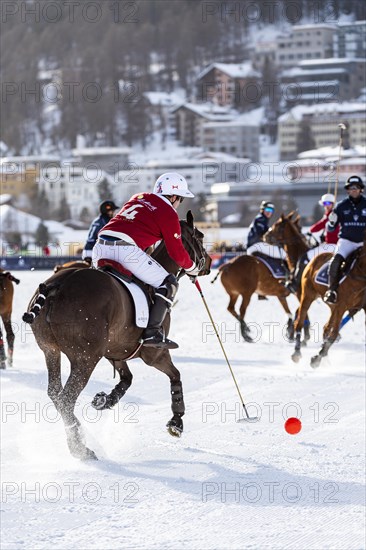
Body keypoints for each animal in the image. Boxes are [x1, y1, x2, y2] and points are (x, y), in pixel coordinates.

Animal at [22, 213, 210, 464]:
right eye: (200, 236)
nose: (208, 264)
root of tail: (57, 284)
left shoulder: (116, 350)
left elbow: (127, 379)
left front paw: (104, 400)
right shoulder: (154, 353)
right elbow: (175, 375)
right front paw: (176, 423)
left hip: (50, 350)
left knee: (55, 393)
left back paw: (80, 434)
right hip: (85, 358)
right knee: (66, 398)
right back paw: (81, 448)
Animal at [212, 213, 308, 342]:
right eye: (299, 228)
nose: (266, 236)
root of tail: (227, 265)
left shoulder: (281, 295)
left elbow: (290, 312)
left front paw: (290, 331)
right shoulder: (298, 292)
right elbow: (301, 311)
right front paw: (301, 334)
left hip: (233, 293)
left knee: (231, 308)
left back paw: (246, 329)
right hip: (247, 292)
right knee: (242, 309)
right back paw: (246, 335)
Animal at [290, 235, 364, 368]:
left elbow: (331, 332)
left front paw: (319, 355)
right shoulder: (341, 306)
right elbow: (333, 334)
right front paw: (316, 359)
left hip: (332, 306)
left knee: (326, 327)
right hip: (307, 295)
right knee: (300, 321)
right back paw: (297, 352)